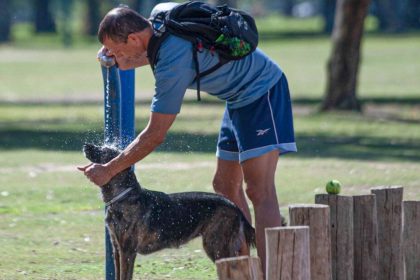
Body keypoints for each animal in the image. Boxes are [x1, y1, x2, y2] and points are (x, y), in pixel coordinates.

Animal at [80, 144, 254, 280]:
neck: (123, 195)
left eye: (105, 151)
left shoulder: (127, 251)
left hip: (216, 246)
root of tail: (234, 206)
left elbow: (125, 276)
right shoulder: (117, 249)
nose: (86, 145)